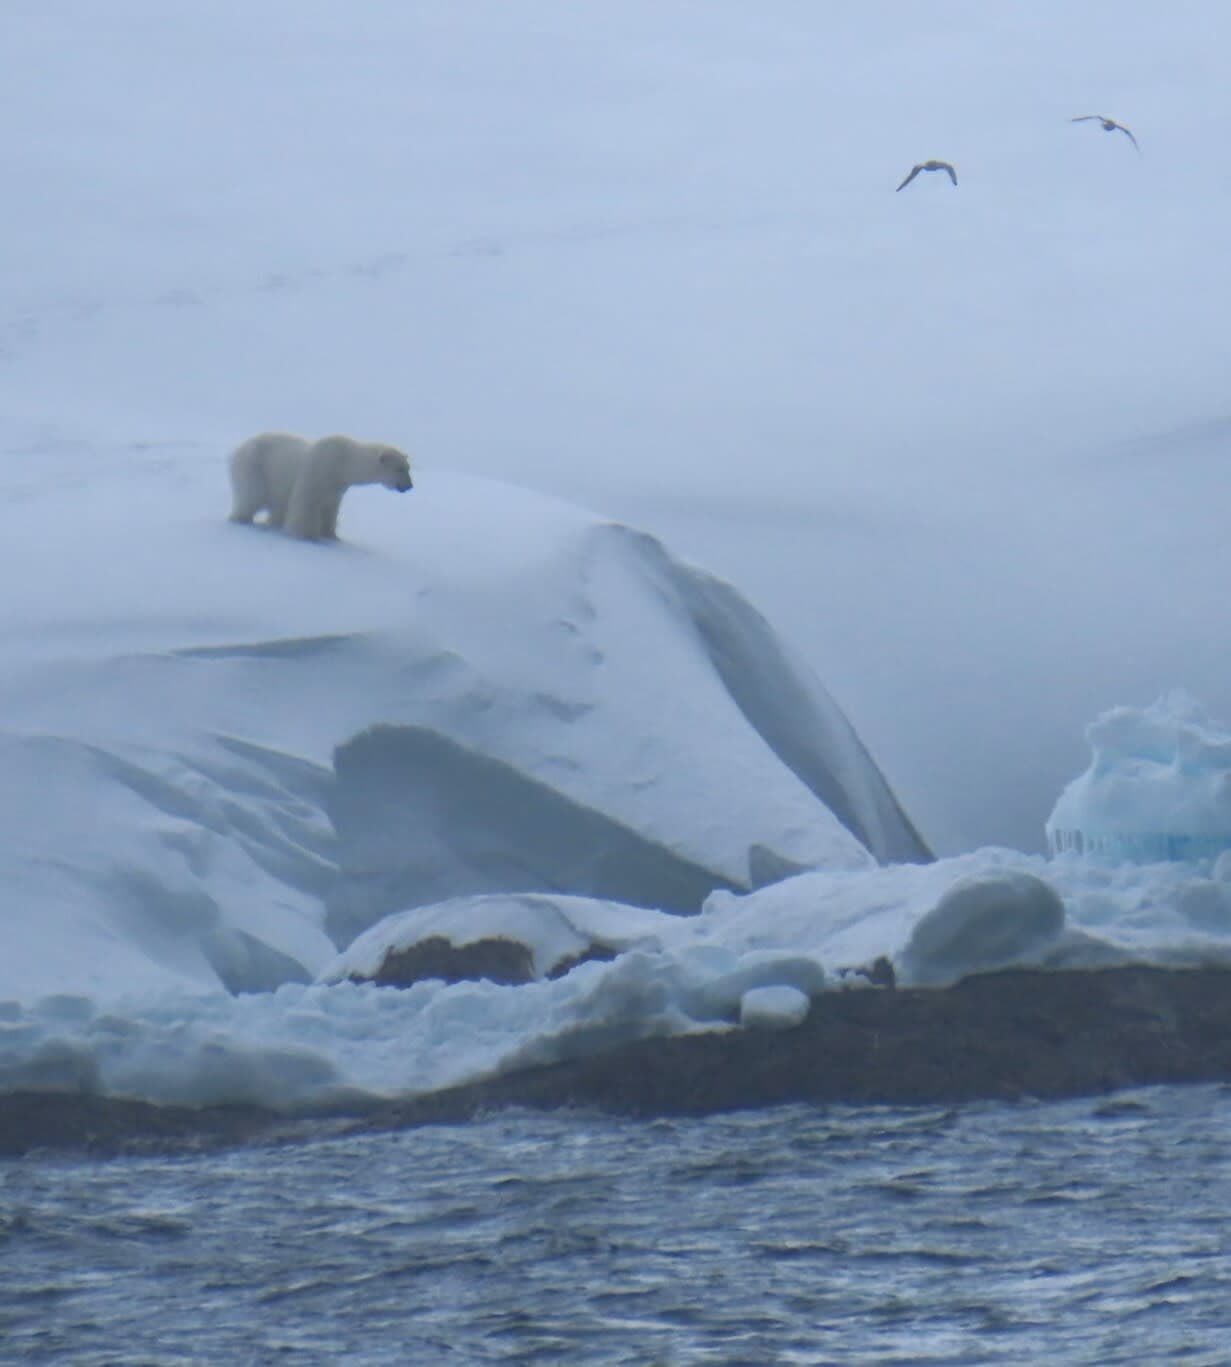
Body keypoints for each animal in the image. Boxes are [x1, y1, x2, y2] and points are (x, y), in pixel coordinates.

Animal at [228, 432, 413, 541]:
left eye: (408, 467)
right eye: (399, 469)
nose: (409, 486)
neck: (344, 463)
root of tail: (236, 451)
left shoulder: (336, 487)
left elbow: (330, 509)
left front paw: (331, 535)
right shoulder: (318, 472)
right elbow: (306, 504)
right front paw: (305, 535)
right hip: (254, 468)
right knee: (251, 497)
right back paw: (241, 519)